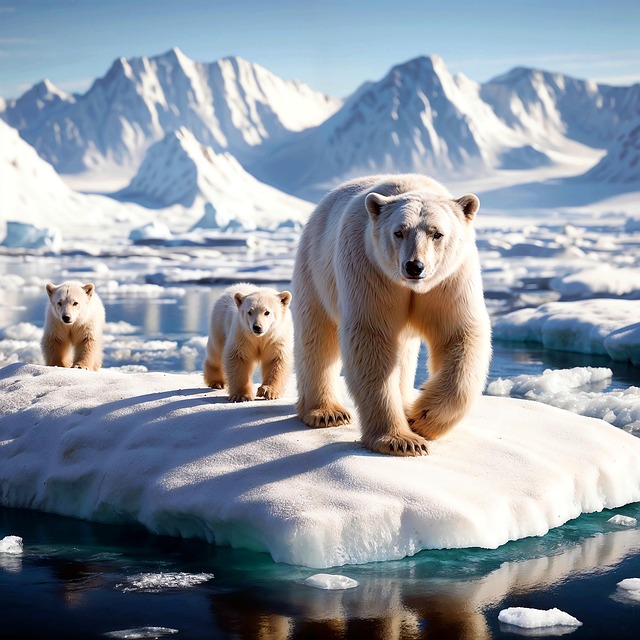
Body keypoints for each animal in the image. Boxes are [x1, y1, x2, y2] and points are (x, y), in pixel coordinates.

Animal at [292, 174, 492, 456]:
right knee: (317, 337)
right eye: (399, 232)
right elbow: (371, 338)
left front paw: (420, 418)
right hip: (314, 267)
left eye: (437, 233)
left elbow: (458, 334)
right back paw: (326, 412)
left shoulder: (450, 281)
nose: (414, 266)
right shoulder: (369, 267)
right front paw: (402, 440)